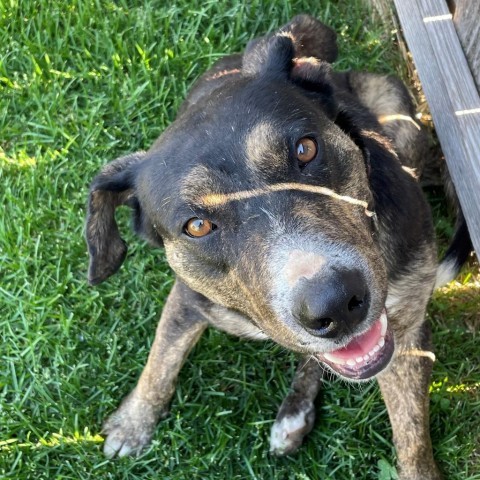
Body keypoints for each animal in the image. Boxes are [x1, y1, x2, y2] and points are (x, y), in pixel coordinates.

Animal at [84, 15, 470, 480]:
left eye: (306, 148)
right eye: (197, 226)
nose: (335, 303)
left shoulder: (409, 330)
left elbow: (412, 435)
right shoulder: (189, 299)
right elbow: (161, 356)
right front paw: (134, 421)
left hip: (396, 106)